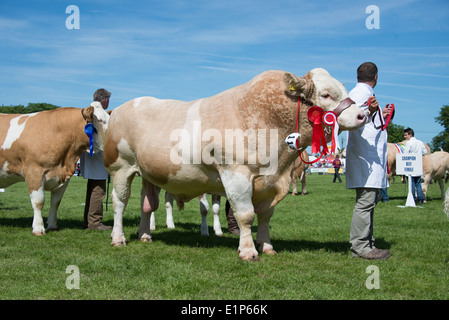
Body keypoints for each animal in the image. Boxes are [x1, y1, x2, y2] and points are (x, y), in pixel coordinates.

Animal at [0, 102, 108, 235]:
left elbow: (55, 202)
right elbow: (39, 201)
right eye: (101, 120)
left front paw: (52, 225)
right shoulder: (34, 171)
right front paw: (38, 228)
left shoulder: (63, 177)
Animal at [103, 67, 366, 260]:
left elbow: (266, 217)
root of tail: (120, 109)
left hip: (147, 173)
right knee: (119, 202)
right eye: (326, 94)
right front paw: (248, 251)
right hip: (121, 168)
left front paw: (267, 246)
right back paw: (118, 238)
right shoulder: (236, 174)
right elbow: (246, 215)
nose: (362, 115)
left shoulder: (271, 183)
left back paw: (145, 234)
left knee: (147, 204)